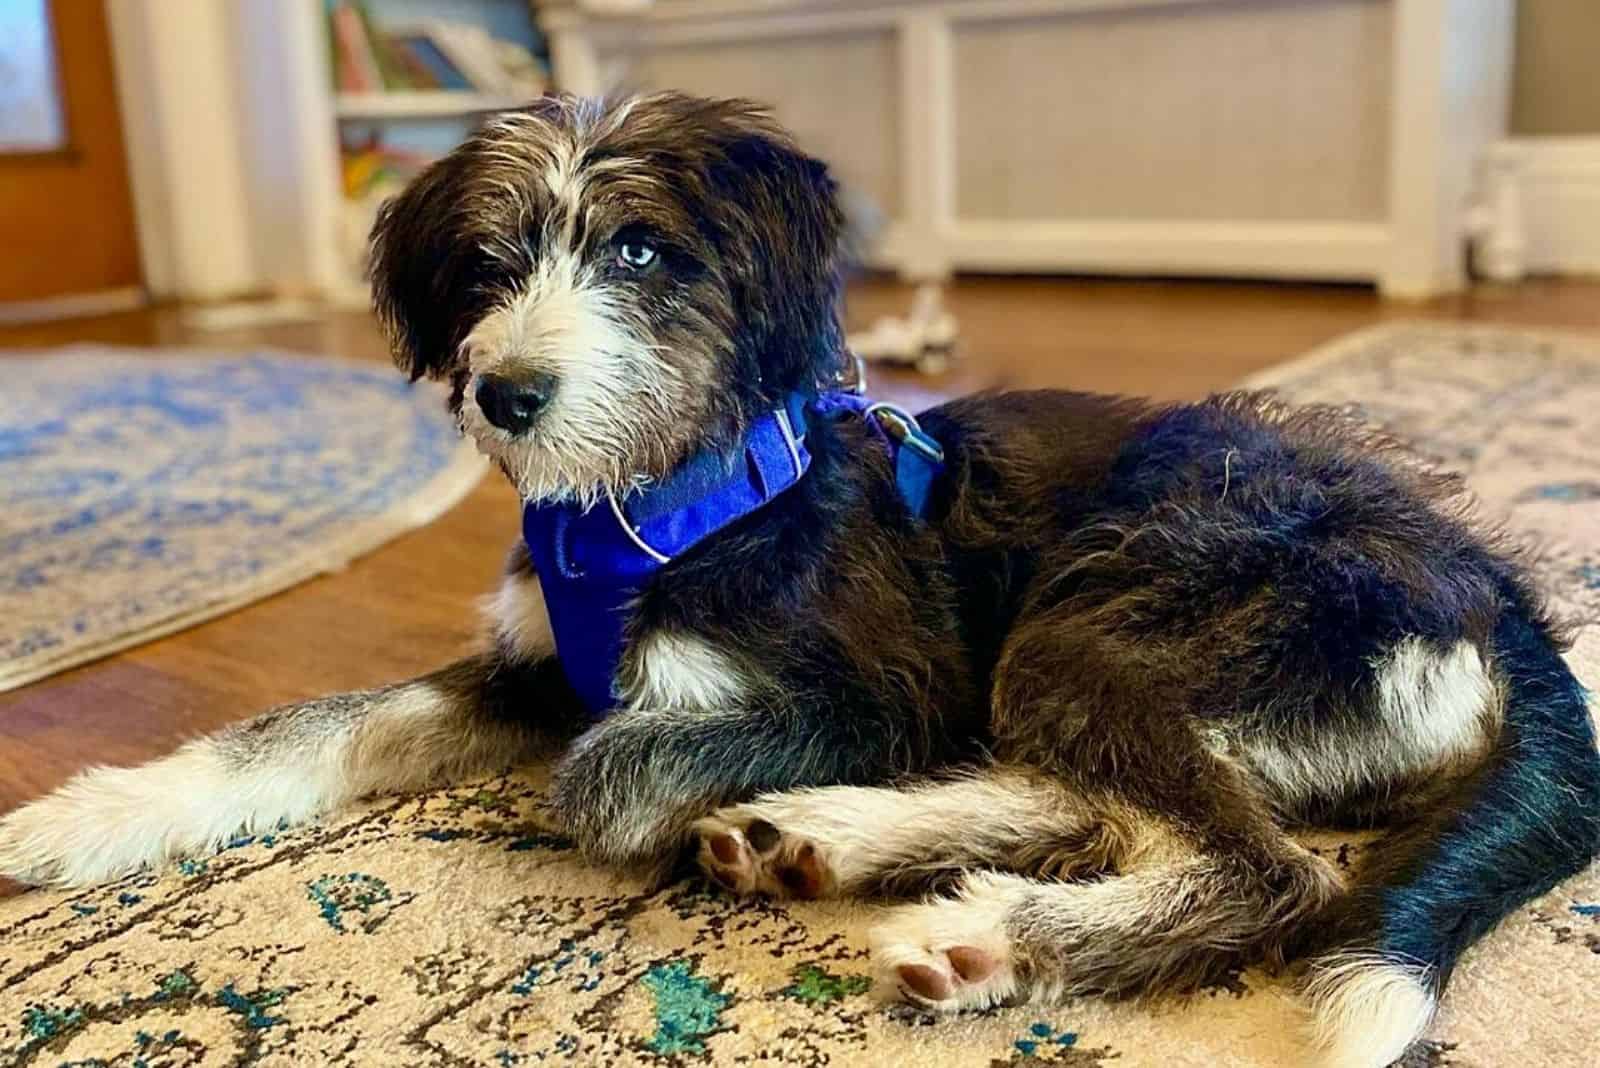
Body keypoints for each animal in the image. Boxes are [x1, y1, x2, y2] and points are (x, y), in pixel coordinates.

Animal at [3, 93, 1600, 1068]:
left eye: (641, 251)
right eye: (486, 264)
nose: (506, 396)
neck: (662, 501)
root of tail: (1493, 590)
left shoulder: (871, 691)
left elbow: (608, 763)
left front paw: (633, 778)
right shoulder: (534, 661)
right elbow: (315, 720)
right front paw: (93, 814)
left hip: (1111, 610)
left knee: (1257, 863)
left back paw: (975, 932)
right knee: (1091, 797)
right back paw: (821, 840)